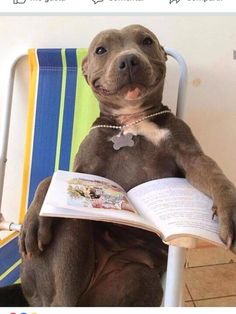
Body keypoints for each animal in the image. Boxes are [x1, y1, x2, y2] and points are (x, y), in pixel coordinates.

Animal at [0, 24, 235, 306]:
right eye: (101, 50)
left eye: (147, 41)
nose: (129, 59)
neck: (132, 120)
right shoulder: (81, 169)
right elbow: (50, 179)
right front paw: (34, 216)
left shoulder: (192, 157)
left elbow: (216, 176)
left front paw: (230, 209)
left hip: (137, 279)